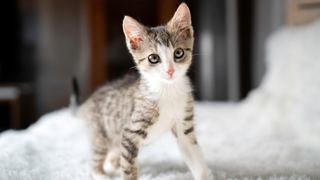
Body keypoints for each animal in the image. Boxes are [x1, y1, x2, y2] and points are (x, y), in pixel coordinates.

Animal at [76, 2, 209, 180]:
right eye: (153, 58)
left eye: (178, 53)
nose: (170, 71)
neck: (167, 90)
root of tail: (91, 99)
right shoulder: (129, 132)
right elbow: (129, 167)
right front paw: (126, 172)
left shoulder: (184, 126)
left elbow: (196, 160)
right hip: (101, 134)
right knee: (95, 160)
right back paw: (101, 174)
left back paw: (114, 163)